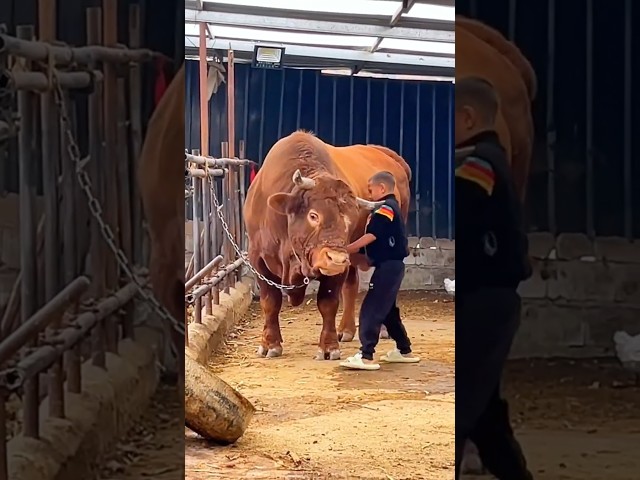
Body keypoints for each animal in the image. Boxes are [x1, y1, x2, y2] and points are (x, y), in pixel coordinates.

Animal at [243, 131, 412, 360]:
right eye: (314, 215)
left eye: (349, 220)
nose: (337, 259)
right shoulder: (257, 259)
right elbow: (270, 302)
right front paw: (270, 344)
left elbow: (328, 303)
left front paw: (329, 347)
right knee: (352, 285)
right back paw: (346, 330)